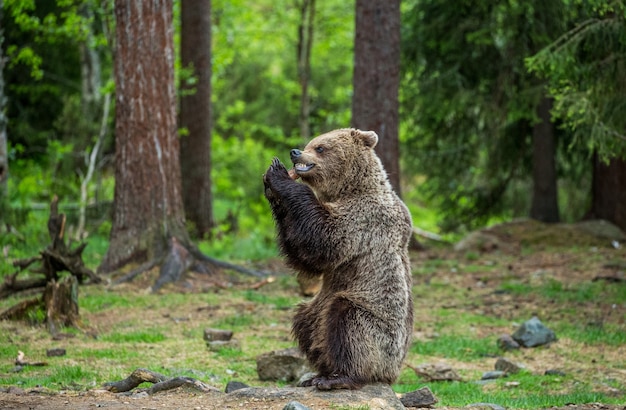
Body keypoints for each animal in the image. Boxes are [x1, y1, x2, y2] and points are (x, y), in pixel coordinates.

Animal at [260, 128, 412, 390]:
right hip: (316, 307)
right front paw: (271, 187)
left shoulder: (365, 218)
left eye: (320, 147)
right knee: (305, 321)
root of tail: (393, 374)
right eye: (309, 143)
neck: (350, 188)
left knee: (347, 321)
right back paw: (317, 374)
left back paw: (339, 377)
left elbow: (323, 238)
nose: (295, 152)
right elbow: (307, 258)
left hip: (379, 327)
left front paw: (278, 175)